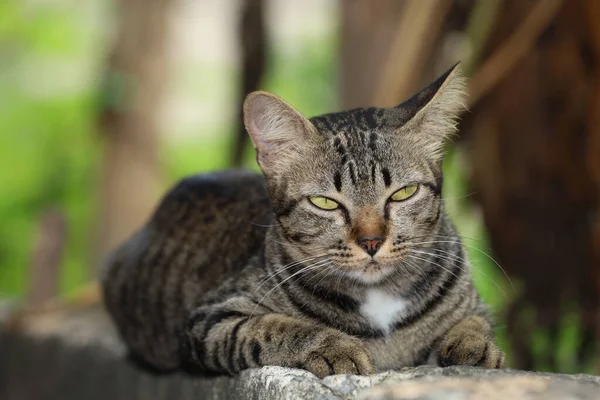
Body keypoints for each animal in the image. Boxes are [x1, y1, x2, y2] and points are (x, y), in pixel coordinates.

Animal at [103, 64, 506, 376]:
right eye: (324, 202)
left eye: (403, 193)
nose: (371, 241)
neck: (378, 297)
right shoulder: (209, 319)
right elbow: (272, 327)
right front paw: (334, 347)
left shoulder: (475, 304)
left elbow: (477, 321)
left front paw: (472, 343)